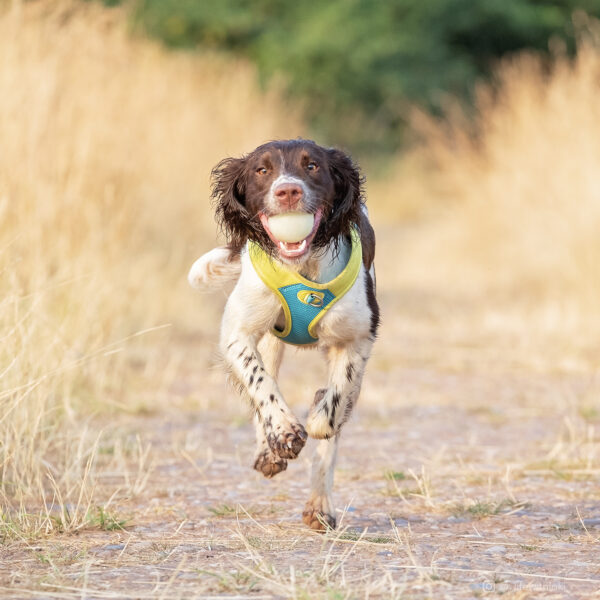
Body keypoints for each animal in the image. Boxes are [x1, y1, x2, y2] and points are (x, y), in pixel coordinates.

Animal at [189, 137, 380, 528]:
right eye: (262, 170)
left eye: (313, 166)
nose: (288, 190)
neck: (302, 268)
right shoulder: (238, 332)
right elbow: (260, 383)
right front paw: (284, 432)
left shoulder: (358, 336)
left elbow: (334, 401)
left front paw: (319, 417)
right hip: (270, 340)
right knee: (265, 382)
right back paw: (270, 451)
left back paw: (320, 506)